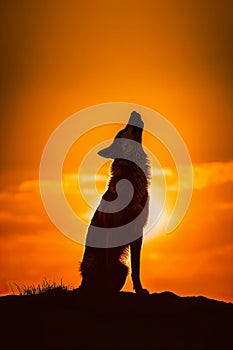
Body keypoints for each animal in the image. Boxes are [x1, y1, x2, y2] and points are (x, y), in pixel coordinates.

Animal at [79, 112, 150, 296]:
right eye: (122, 131)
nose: (134, 111)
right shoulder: (112, 228)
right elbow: (109, 261)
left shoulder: (138, 232)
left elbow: (136, 267)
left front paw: (140, 290)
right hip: (92, 261)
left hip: (123, 268)